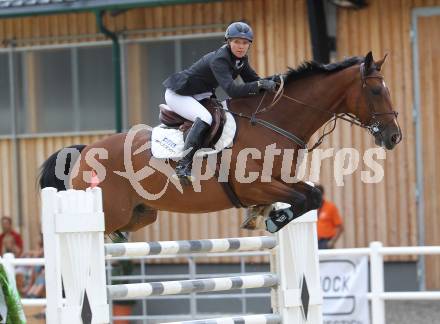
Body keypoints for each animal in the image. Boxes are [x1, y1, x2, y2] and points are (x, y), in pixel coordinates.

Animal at [38, 52, 402, 237]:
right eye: (374, 90)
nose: (394, 136)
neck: (273, 122)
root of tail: (85, 151)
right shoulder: (254, 185)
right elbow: (303, 198)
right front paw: (272, 219)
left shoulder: (281, 181)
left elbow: (313, 196)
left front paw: (268, 217)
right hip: (107, 209)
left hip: (140, 213)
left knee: (121, 231)